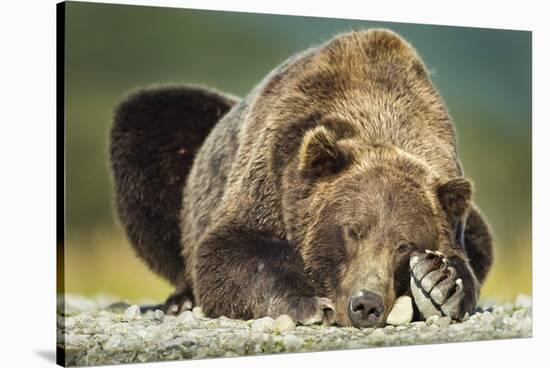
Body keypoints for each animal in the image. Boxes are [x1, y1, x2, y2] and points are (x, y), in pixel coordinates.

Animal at [111, 29, 496, 328]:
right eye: (352, 230)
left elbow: (465, 258)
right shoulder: (274, 168)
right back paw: (182, 300)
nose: (366, 304)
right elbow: (227, 249)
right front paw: (307, 302)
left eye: (404, 245)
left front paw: (440, 283)